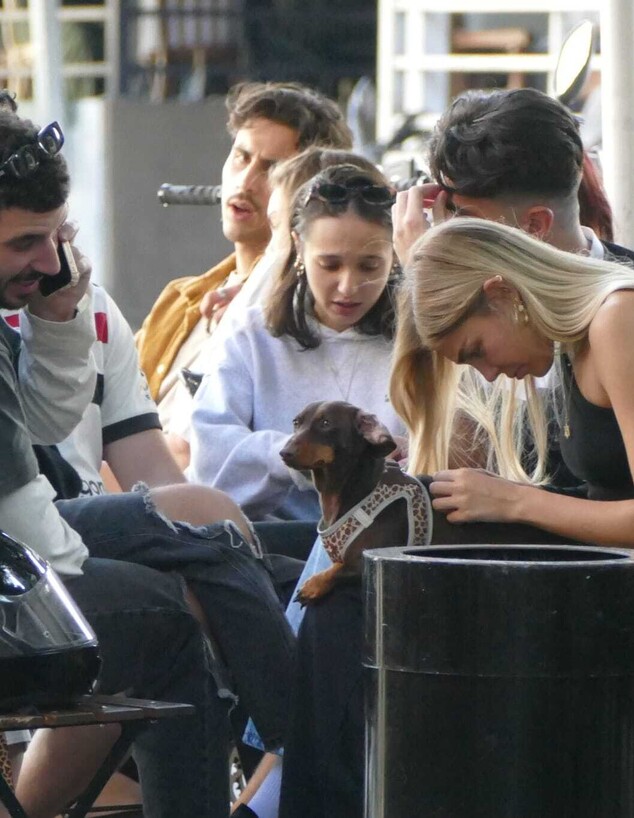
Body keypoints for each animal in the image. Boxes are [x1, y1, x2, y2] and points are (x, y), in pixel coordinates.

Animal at [279, 400, 432, 604]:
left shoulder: (367, 560)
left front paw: (313, 585)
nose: (284, 453)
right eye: (296, 422)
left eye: (326, 423)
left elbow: (337, 569)